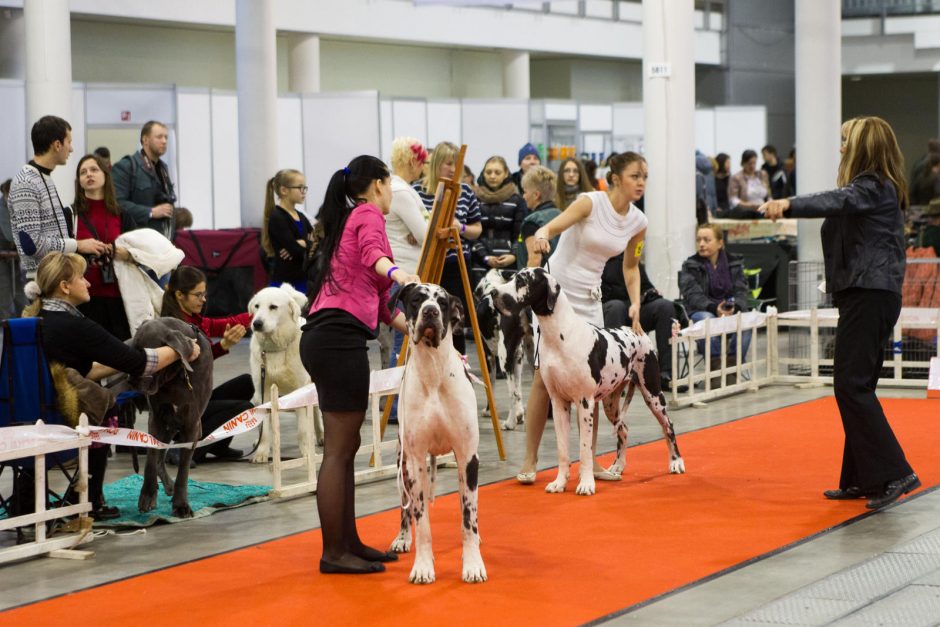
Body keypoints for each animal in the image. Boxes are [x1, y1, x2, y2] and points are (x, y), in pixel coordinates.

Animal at [248, 282, 322, 464]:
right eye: (257, 306)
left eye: (273, 307)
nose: (257, 323)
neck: (276, 347)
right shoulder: (263, 391)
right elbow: (265, 429)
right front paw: (261, 452)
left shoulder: (300, 389)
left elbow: (302, 429)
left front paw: (306, 453)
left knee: (316, 411)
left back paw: (320, 436)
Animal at [388, 282, 488, 588]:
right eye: (417, 299)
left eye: (442, 302)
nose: (430, 312)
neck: (433, 370)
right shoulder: (415, 462)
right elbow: (422, 522)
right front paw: (422, 567)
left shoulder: (467, 459)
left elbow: (468, 518)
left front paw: (473, 565)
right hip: (402, 464)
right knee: (405, 509)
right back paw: (402, 538)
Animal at [474, 268, 532, 430]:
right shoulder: (518, 358)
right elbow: (519, 390)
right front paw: (520, 414)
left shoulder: (489, 357)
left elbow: (491, 386)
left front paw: (488, 411)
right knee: (517, 392)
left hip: (503, 359)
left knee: (512, 393)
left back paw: (509, 423)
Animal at [492, 268, 684, 498]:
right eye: (512, 277)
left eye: (521, 281)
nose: (493, 292)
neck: (559, 335)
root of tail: (638, 332)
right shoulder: (558, 403)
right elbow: (563, 450)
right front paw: (559, 483)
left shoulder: (584, 403)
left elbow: (585, 449)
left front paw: (586, 484)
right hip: (611, 403)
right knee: (624, 429)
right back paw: (618, 465)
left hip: (653, 393)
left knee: (668, 425)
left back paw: (676, 463)